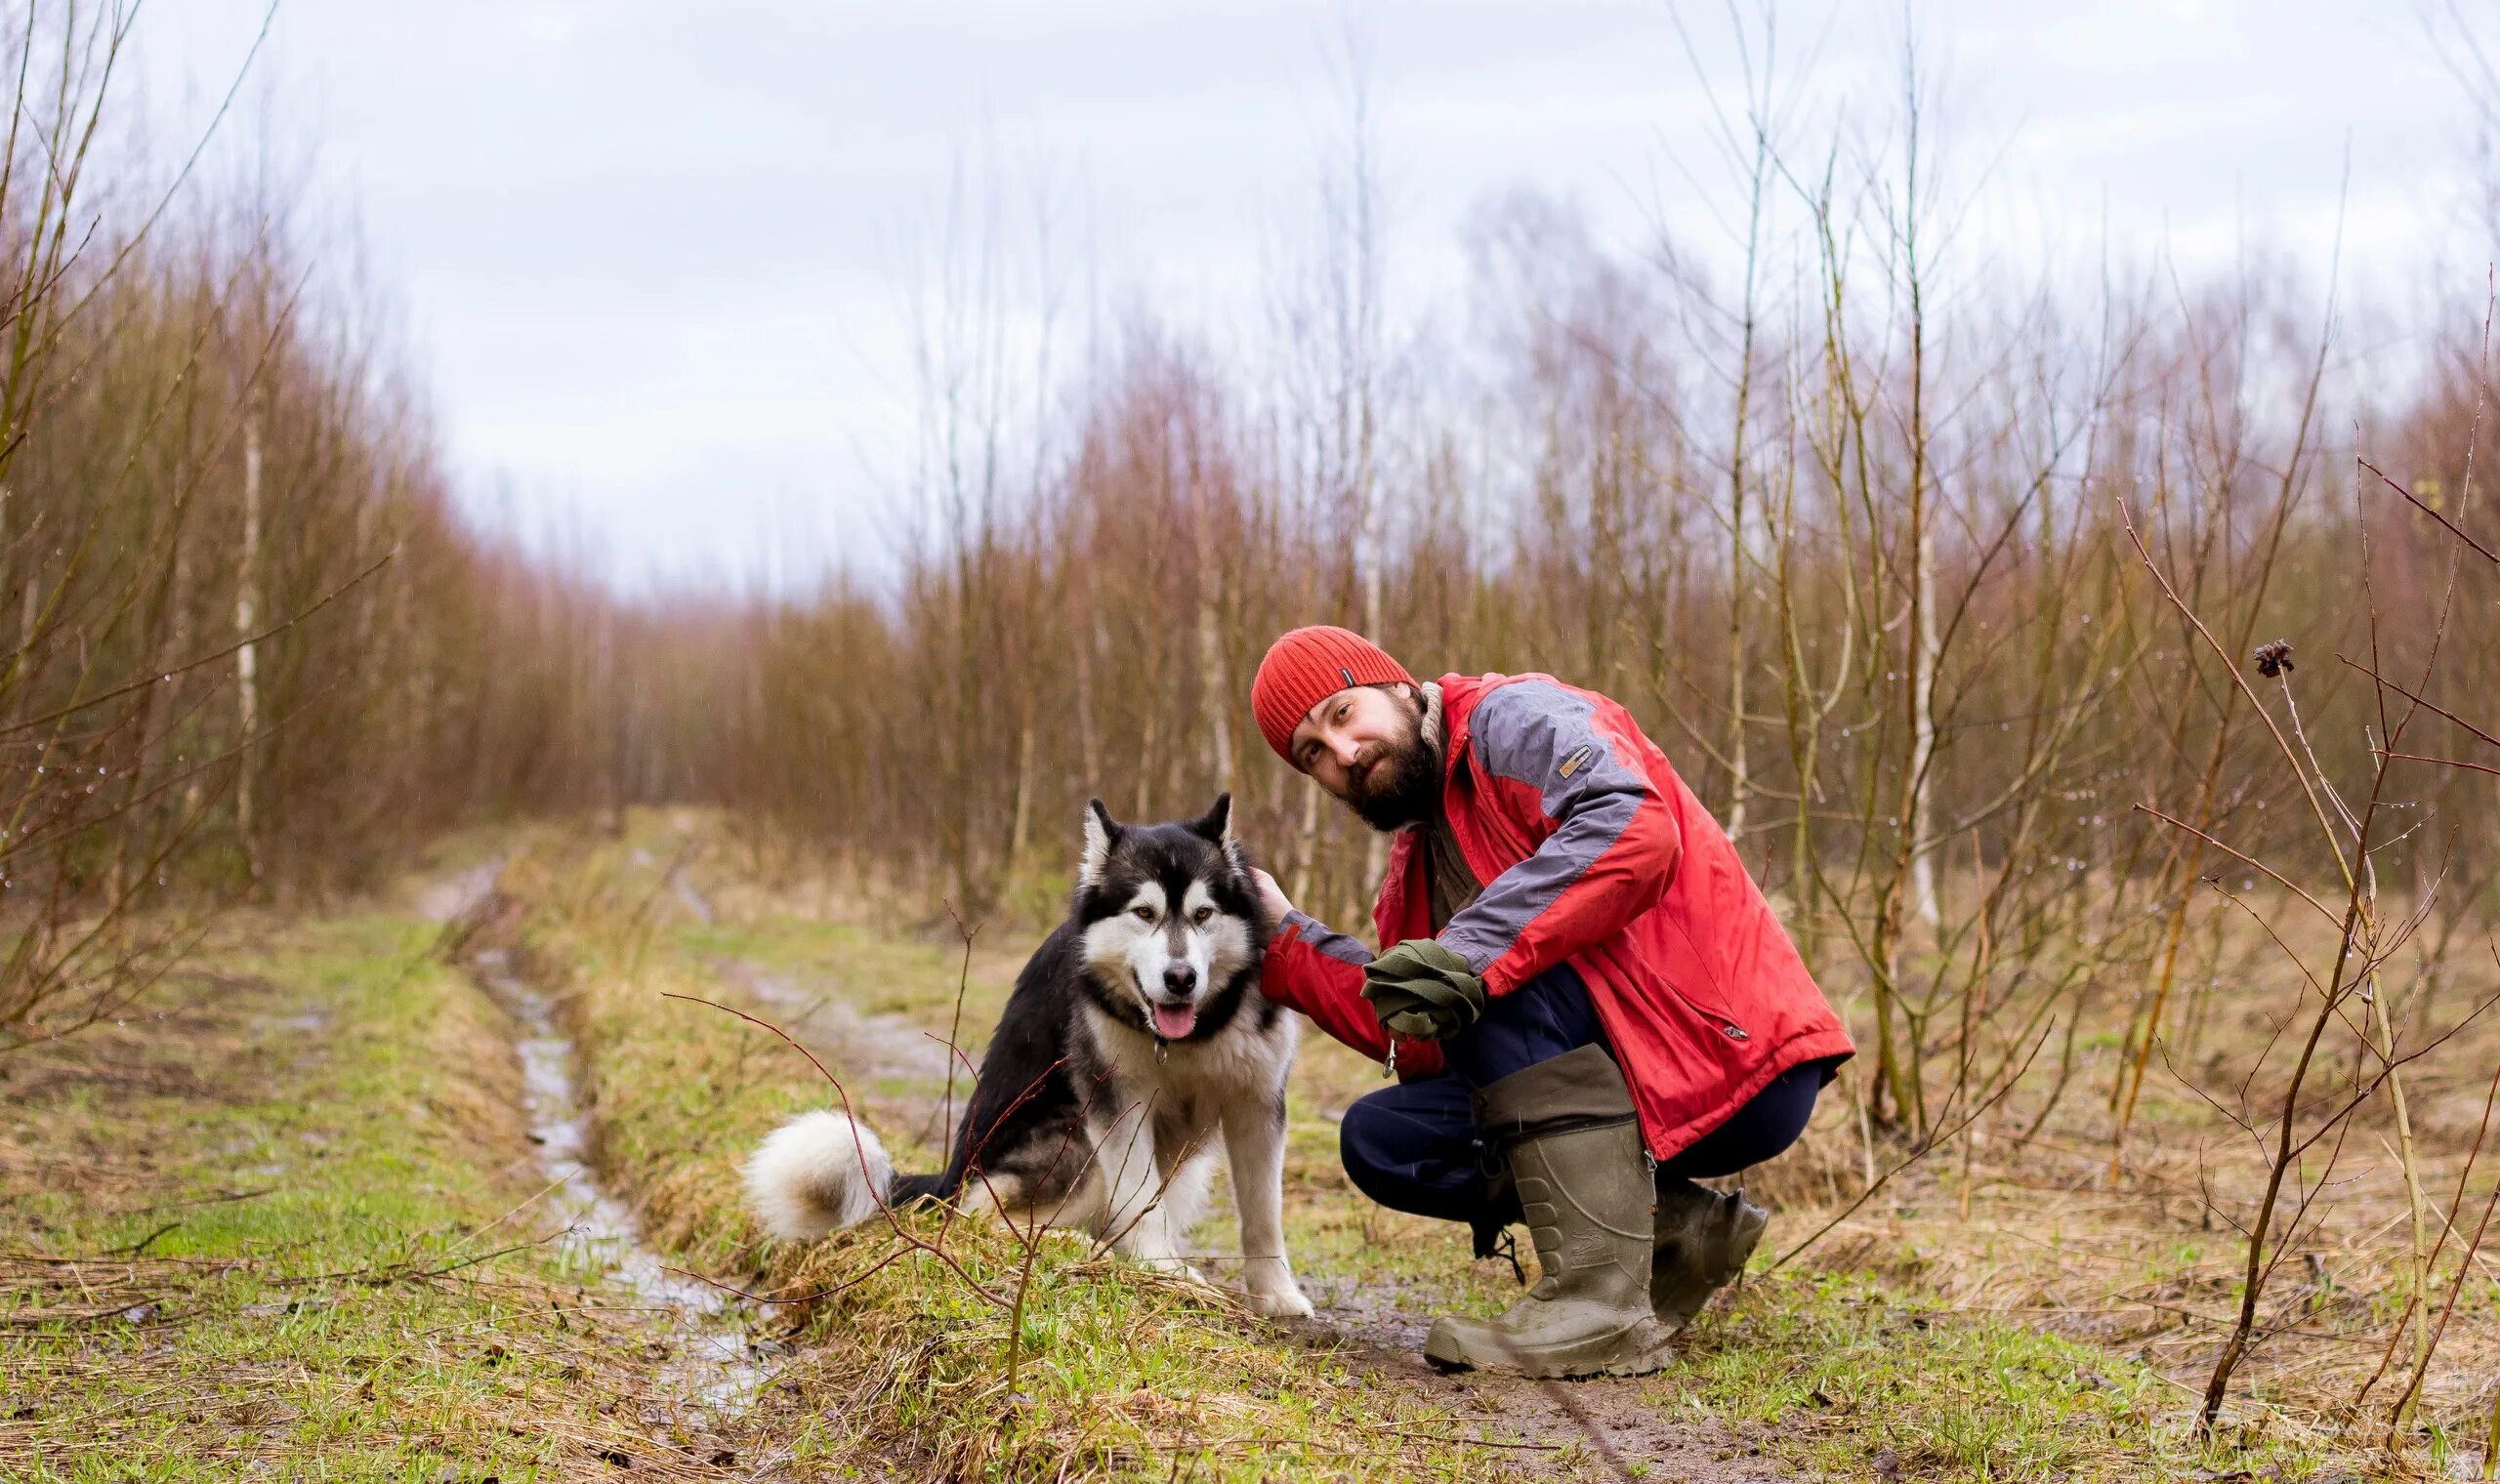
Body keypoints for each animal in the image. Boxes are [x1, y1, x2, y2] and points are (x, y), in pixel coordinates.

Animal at [739, 789, 1319, 1308]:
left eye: (1202, 914)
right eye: (1143, 912)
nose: (1181, 978)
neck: (1192, 1035)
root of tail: (949, 1177)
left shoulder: (1257, 1103)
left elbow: (1264, 1214)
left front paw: (1277, 1295)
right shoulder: (1118, 1102)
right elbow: (1138, 1195)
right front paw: (1163, 1271)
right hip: (1071, 1142)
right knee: (979, 1219)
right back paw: (1079, 1247)